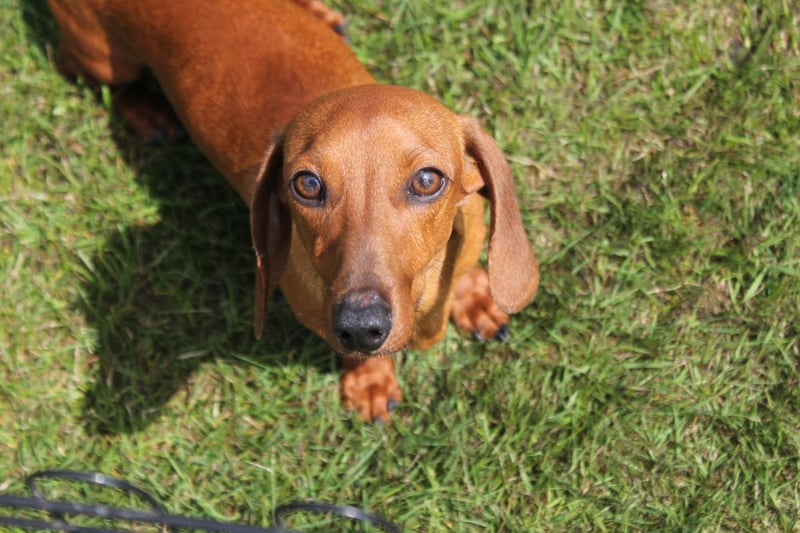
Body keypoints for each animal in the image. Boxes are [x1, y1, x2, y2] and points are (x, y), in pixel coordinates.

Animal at [48, 1, 536, 424]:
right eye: (307, 184)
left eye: (428, 180)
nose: (361, 327)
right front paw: (370, 380)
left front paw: (475, 297)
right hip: (103, 59)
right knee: (86, 72)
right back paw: (146, 112)